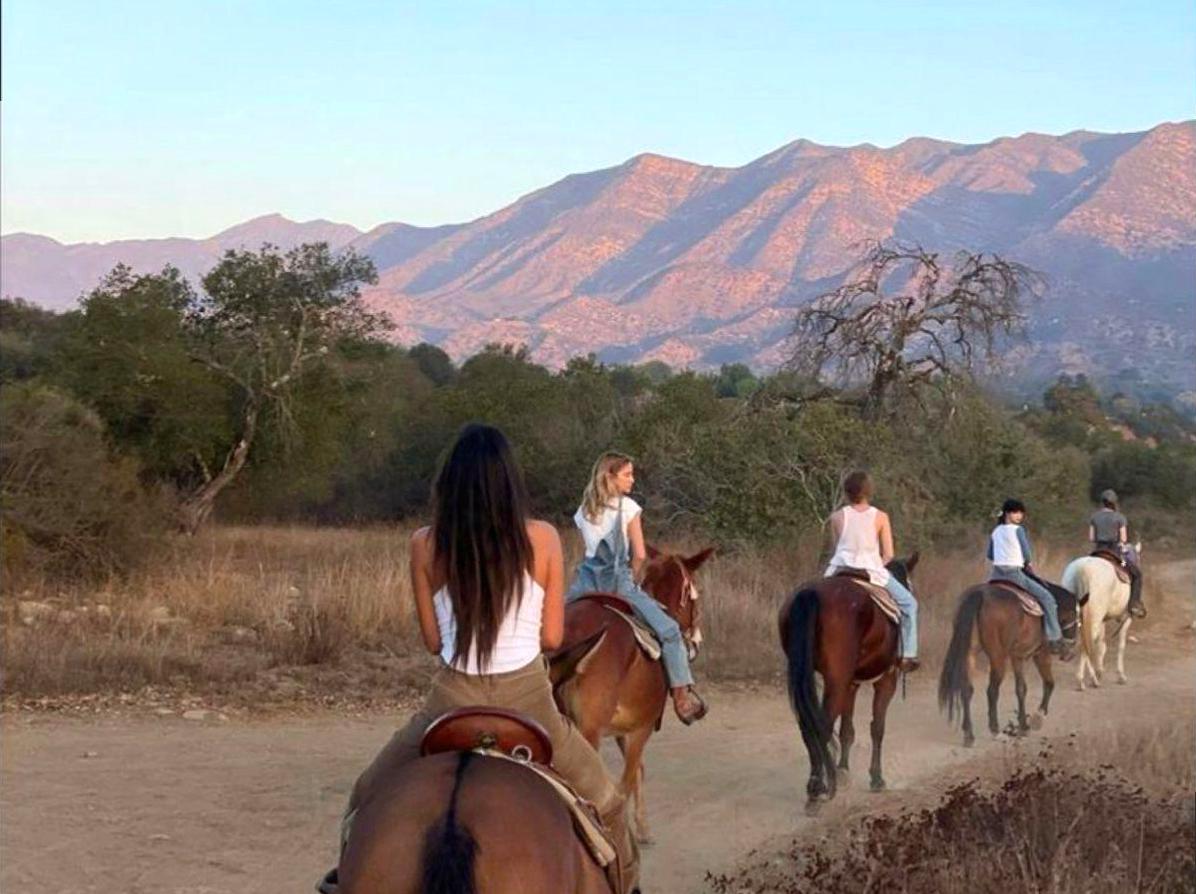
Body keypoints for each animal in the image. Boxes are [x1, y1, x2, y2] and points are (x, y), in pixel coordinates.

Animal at [547, 545, 708, 847]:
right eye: (695, 592)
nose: (696, 640)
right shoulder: (641, 728)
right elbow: (626, 782)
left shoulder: (623, 729)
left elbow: (637, 775)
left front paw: (642, 828)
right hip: (587, 733)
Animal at [779, 555, 918, 809]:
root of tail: (812, 593)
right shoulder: (886, 679)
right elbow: (877, 728)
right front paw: (876, 778)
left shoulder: (851, 683)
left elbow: (847, 729)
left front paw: (843, 772)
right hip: (837, 679)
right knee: (822, 725)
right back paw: (817, 791)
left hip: (815, 676)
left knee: (808, 726)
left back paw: (818, 784)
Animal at [937, 576, 1081, 746]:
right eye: (1075, 615)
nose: (1070, 651)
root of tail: (981, 595)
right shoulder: (1041, 654)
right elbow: (1049, 683)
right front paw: (1037, 718)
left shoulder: (1017, 657)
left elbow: (1021, 689)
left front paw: (1023, 726)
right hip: (998, 656)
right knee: (992, 690)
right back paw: (995, 731)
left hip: (969, 653)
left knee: (967, 689)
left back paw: (969, 734)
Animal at [1066, 540, 1138, 689]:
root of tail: (1082, 569)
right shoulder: (1126, 618)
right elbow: (1121, 645)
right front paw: (1120, 675)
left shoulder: (1103, 620)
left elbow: (1101, 644)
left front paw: (1100, 670)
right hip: (1093, 618)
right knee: (1086, 643)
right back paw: (1085, 680)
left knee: (1083, 642)